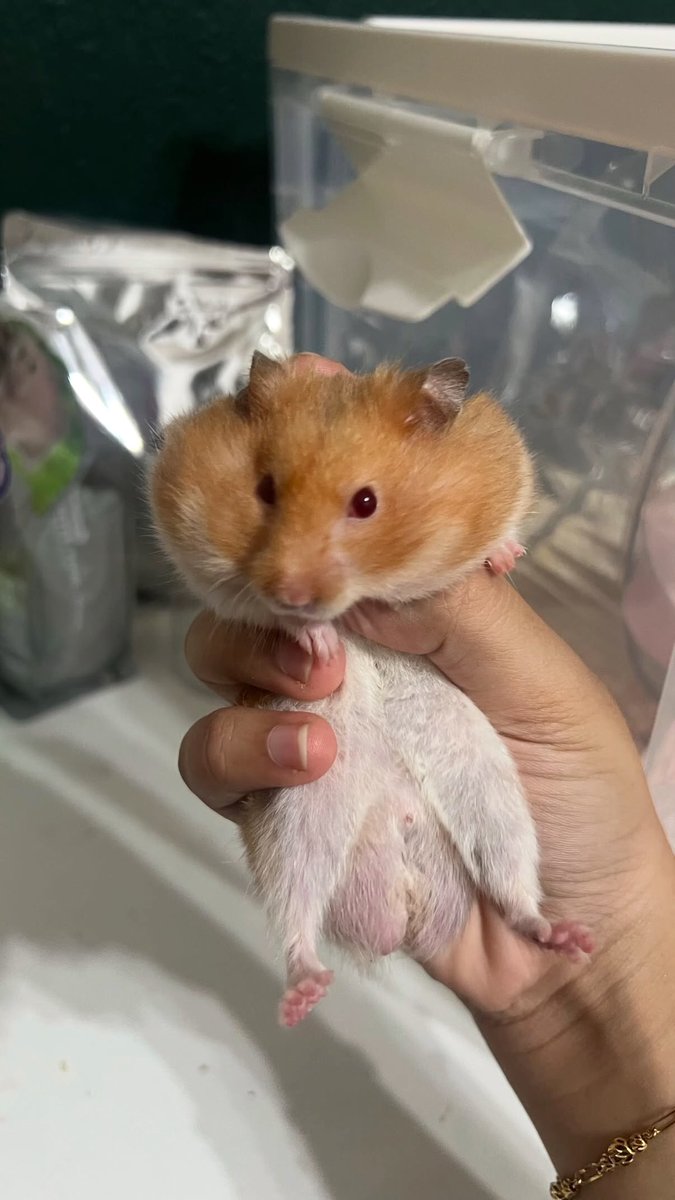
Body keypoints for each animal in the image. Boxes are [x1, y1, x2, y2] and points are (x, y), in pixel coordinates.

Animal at [151, 353, 593, 1027]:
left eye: (366, 502)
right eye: (265, 490)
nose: (292, 593)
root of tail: (404, 904)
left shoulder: (505, 468)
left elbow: (500, 529)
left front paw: (504, 558)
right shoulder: (196, 538)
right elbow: (255, 610)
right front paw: (320, 647)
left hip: (494, 804)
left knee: (514, 891)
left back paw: (567, 938)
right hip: (297, 821)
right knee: (297, 915)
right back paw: (301, 997)